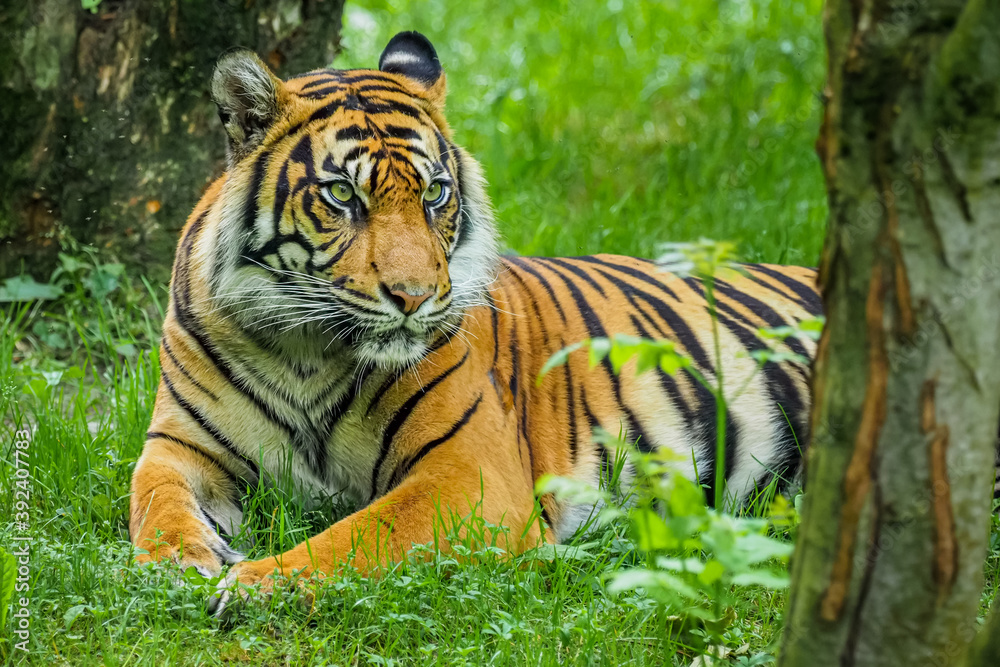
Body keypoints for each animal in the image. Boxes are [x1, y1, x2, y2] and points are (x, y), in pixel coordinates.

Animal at [128, 31, 822, 612]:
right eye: (343, 195)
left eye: (435, 193)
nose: (414, 297)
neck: (307, 350)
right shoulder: (179, 444)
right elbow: (154, 500)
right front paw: (184, 562)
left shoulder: (468, 474)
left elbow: (358, 535)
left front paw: (252, 585)